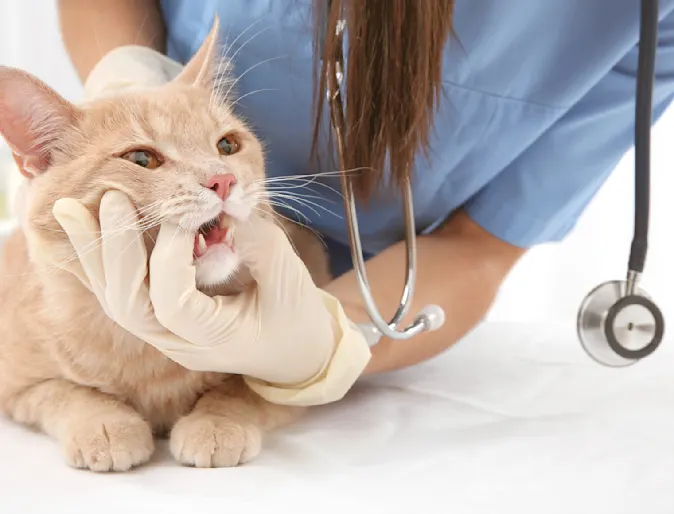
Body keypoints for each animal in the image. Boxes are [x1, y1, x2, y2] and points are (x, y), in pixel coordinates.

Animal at [0, 19, 330, 468]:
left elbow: (242, 389)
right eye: (142, 159)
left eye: (227, 145)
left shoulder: (296, 374)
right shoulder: (16, 385)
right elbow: (65, 392)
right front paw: (105, 423)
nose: (223, 180)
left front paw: (215, 421)